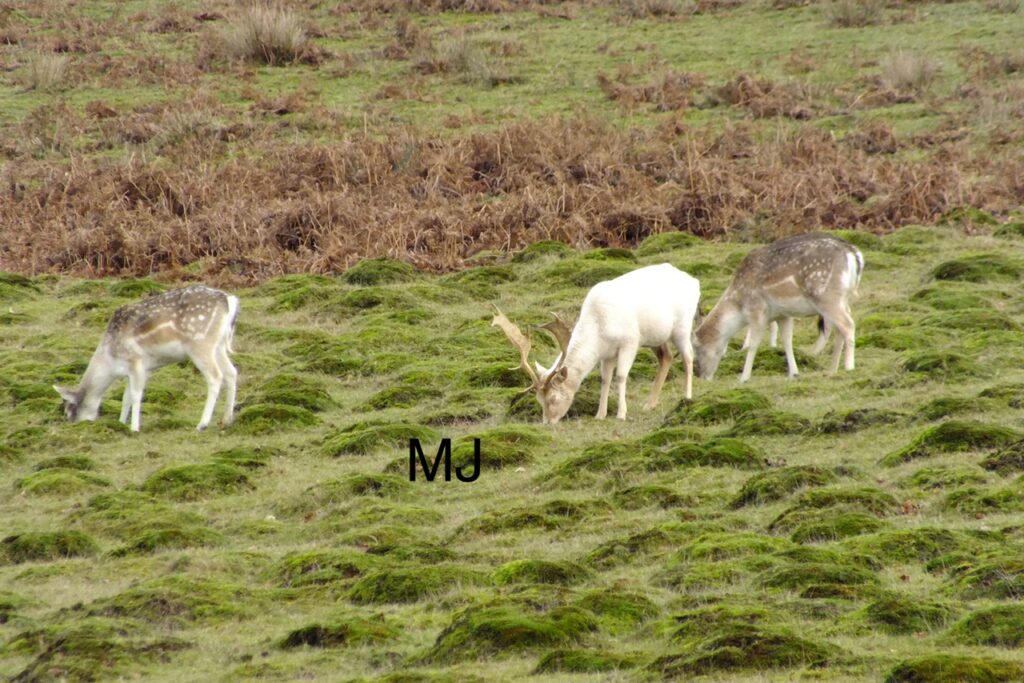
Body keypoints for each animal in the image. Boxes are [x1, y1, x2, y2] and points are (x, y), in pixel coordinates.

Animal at [53, 285, 240, 433]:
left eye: (70, 410)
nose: (74, 424)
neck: (111, 361)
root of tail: (229, 300)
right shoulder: (142, 369)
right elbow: (126, 397)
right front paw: (121, 423)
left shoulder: (135, 361)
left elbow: (136, 395)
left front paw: (134, 428)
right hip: (219, 346)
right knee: (231, 372)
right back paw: (226, 420)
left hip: (200, 344)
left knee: (215, 376)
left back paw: (202, 424)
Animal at [491, 263, 700, 424]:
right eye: (538, 399)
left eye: (553, 398)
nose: (548, 422)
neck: (599, 328)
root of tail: (694, 282)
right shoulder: (606, 354)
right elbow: (605, 379)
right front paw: (600, 414)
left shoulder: (630, 342)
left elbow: (621, 376)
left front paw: (621, 414)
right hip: (657, 337)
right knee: (666, 357)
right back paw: (650, 404)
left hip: (682, 327)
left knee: (688, 356)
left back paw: (687, 397)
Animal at [695, 233, 863, 383]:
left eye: (698, 348)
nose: (702, 375)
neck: (739, 305)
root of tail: (854, 254)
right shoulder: (783, 314)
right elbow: (787, 341)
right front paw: (794, 373)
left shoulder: (757, 309)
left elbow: (753, 344)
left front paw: (744, 378)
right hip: (843, 298)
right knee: (839, 328)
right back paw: (832, 369)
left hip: (827, 297)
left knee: (847, 325)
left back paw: (849, 367)